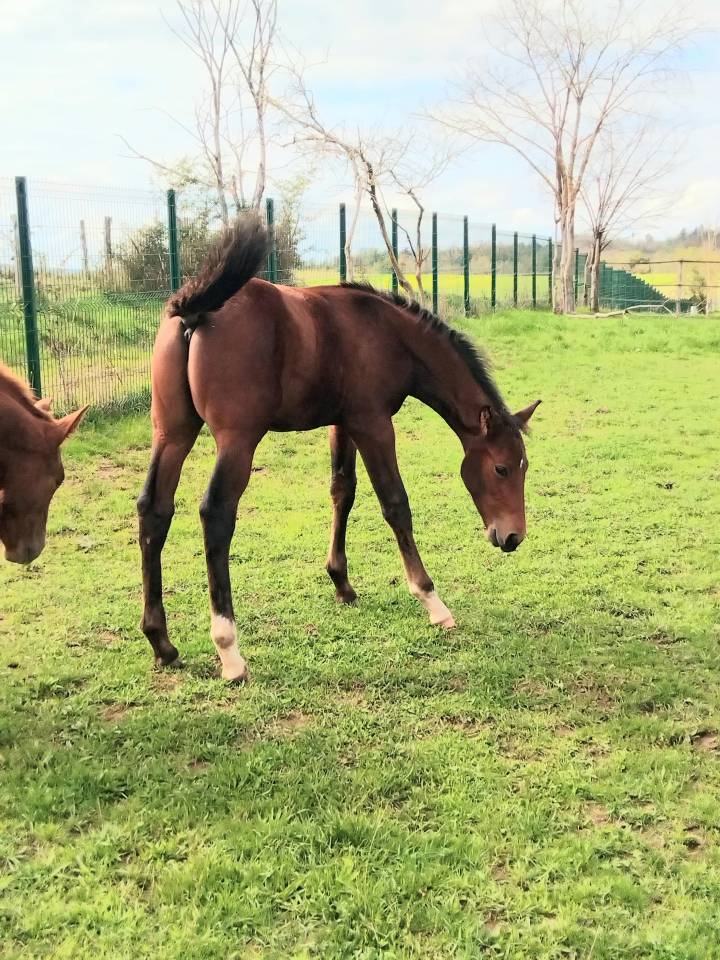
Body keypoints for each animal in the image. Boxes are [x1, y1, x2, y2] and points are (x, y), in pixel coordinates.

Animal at [138, 217, 540, 682]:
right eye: (501, 469)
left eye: (523, 467)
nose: (512, 536)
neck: (388, 334)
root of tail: (194, 308)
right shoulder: (374, 424)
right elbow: (395, 503)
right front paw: (432, 601)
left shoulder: (343, 423)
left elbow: (342, 491)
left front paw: (342, 583)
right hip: (237, 439)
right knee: (216, 514)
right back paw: (229, 650)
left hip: (173, 433)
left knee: (154, 510)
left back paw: (162, 643)